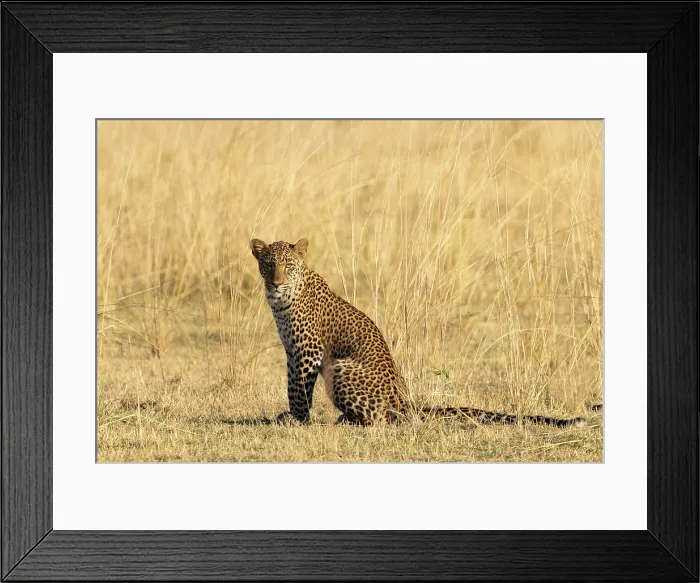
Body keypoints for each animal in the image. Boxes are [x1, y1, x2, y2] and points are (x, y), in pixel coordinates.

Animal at [250, 237, 588, 429]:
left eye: (288, 265)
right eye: (267, 265)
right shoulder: (292, 352)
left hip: (342, 367)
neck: (280, 300)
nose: (276, 283)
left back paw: (348, 421)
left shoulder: (308, 351)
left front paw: (297, 420)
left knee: (381, 420)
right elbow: (291, 384)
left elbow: (299, 389)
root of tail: (405, 403)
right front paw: (291, 417)